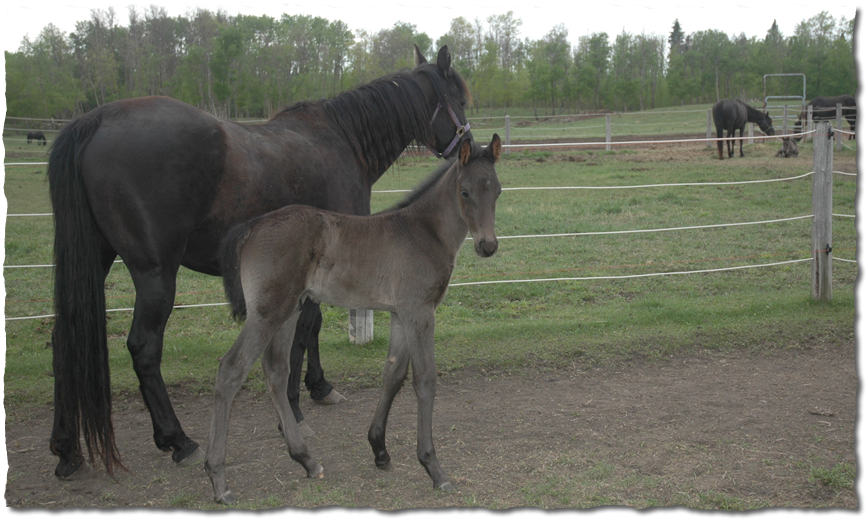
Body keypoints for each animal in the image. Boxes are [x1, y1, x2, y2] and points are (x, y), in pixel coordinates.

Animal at [45, 43, 472, 480]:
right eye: (458, 100)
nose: (469, 148)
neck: (342, 141)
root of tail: (94, 121)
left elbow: (309, 331)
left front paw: (317, 388)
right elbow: (307, 331)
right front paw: (298, 406)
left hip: (96, 262)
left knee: (64, 340)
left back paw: (67, 449)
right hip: (156, 274)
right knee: (144, 347)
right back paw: (178, 440)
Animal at [207, 135, 502, 508]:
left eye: (497, 190)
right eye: (465, 192)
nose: (488, 246)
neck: (423, 231)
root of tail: (252, 227)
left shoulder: (399, 314)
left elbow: (393, 375)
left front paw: (380, 450)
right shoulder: (419, 311)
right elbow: (425, 380)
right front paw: (433, 467)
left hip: (288, 310)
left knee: (275, 370)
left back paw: (307, 460)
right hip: (266, 312)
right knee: (231, 369)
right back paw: (219, 480)